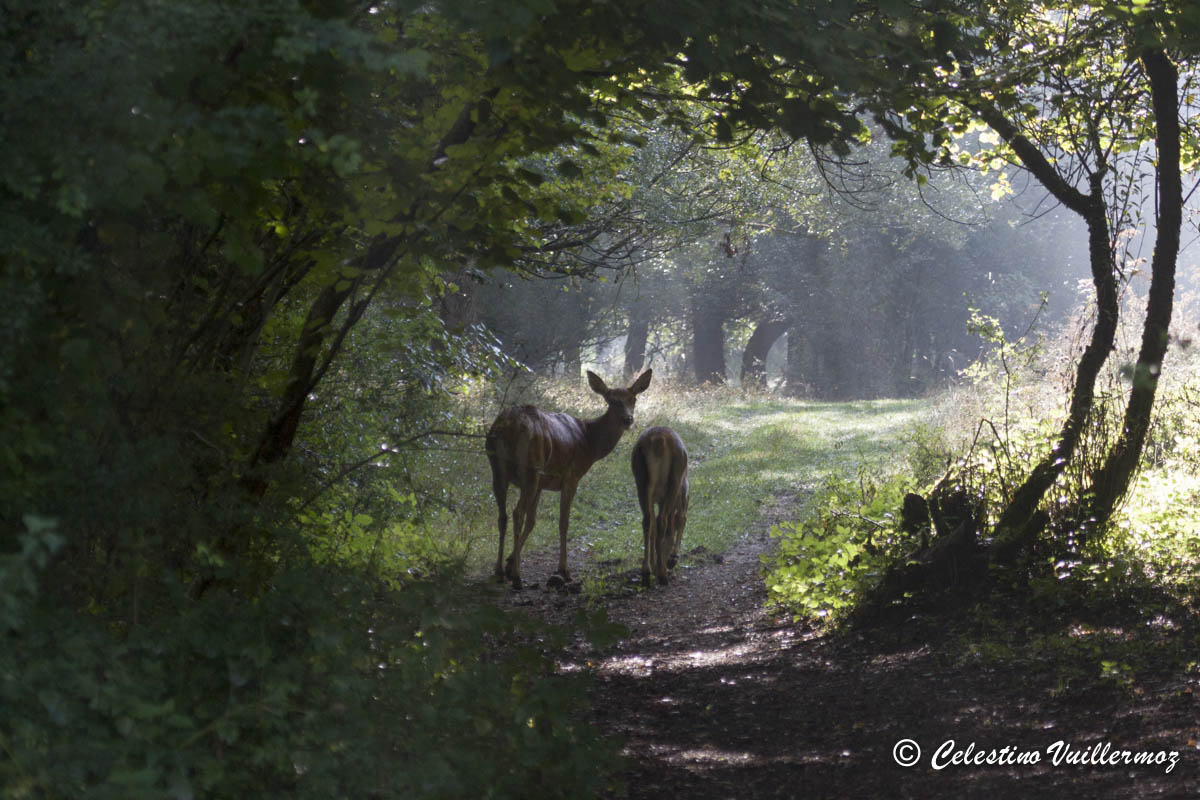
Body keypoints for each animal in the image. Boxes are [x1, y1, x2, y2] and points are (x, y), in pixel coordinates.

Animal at [487, 369, 657, 587]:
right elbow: (563, 522)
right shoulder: (571, 476)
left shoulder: (542, 484)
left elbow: (532, 521)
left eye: (633, 398)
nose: (628, 419)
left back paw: (499, 570)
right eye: (611, 401)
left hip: (498, 468)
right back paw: (517, 577)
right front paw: (564, 570)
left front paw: (509, 563)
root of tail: (506, 428)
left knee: (504, 516)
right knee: (517, 513)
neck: (589, 443)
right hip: (531, 469)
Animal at [633, 424, 691, 587]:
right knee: (662, 522)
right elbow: (680, 520)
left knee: (647, 521)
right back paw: (662, 574)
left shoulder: (654, 500)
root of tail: (658, 441)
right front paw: (672, 558)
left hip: (641, 481)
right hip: (672, 483)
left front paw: (654, 563)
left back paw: (647, 570)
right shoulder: (681, 494)